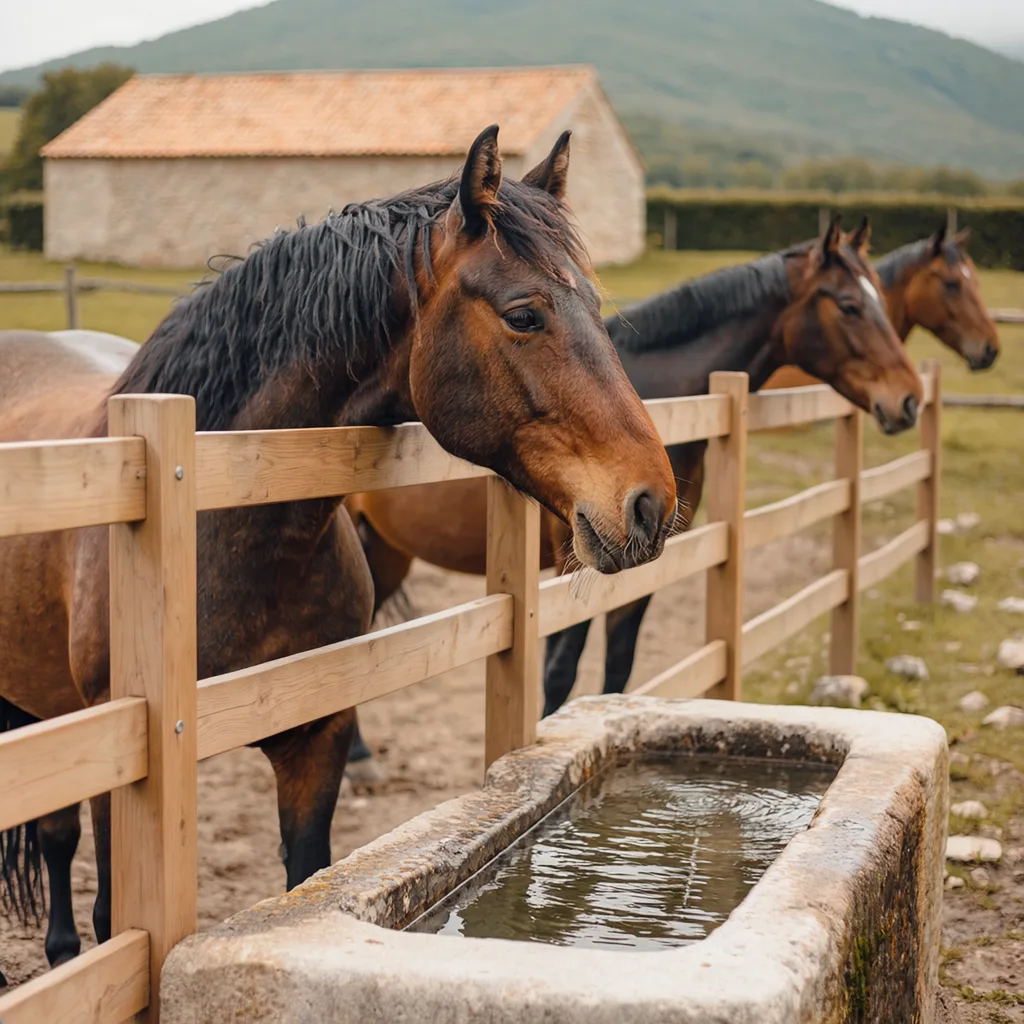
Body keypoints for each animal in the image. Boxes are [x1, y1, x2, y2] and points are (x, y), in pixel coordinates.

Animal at [0, 125, 678, 978]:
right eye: (525, 315)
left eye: (595, 305)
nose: (652, 503)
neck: (216, 522)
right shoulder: (122, 776)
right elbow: (109, 918)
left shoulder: (317, 739)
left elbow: (305, 874)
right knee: (57, 846)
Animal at [342, 216, 923, 762]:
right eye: (850, 305)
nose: (909, 399)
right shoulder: (568, 560)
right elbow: (560, 670)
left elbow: (619, 666)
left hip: (388, 551)